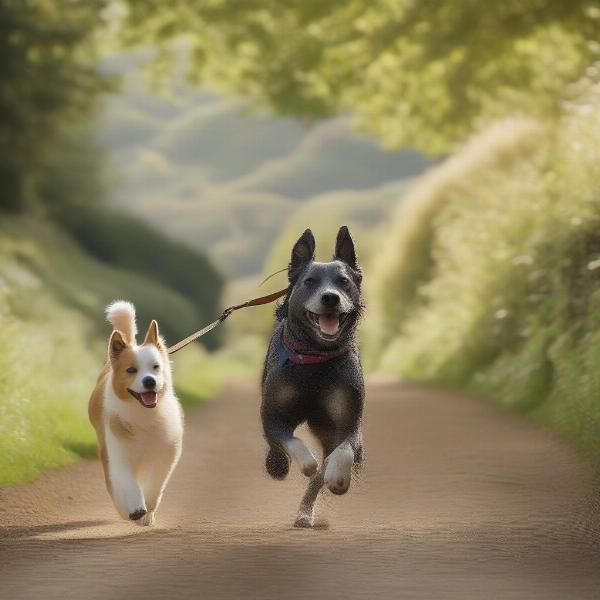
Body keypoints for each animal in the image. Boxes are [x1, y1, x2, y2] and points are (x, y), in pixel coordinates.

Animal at [88, 300, 183, 524]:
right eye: (131, 370)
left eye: (156, 367)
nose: (149, 381)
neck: (145, 414)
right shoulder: (119, 456)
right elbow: (128, 485)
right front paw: (136, 509)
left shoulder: (166, 455)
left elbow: (155, 486)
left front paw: (148, 510)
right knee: (114, 486)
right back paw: (125, 511)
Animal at [260, 227, 364, 528]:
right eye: (309, 281)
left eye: (343, 281)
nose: (330, 297)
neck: (316, 358)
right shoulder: (272, 415)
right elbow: (289, 441)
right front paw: (304, 462)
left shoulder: (349, 421)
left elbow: (344, 449)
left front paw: (338, 477)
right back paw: (277, 466)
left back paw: (306, 512)